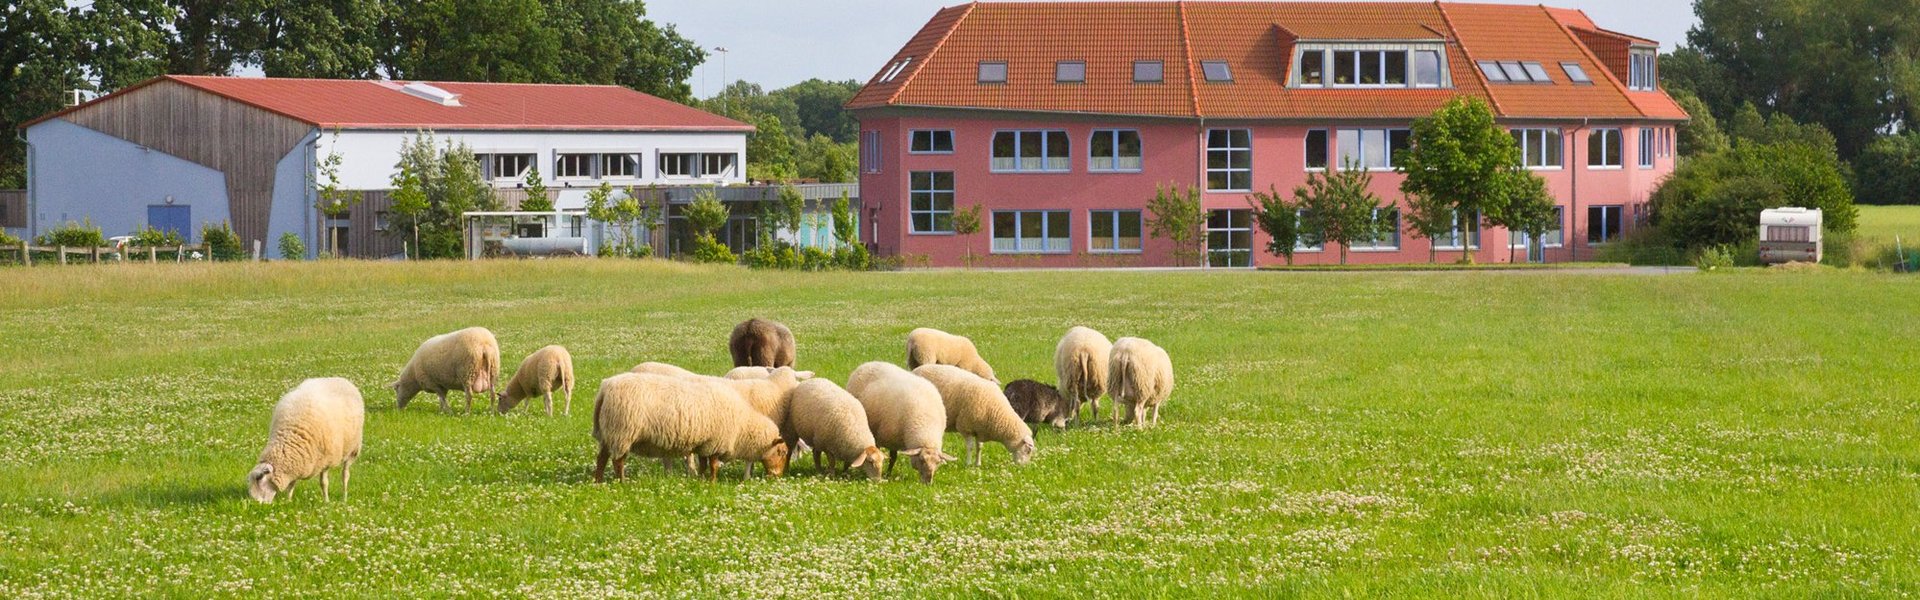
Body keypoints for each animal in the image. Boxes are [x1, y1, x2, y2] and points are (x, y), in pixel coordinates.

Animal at [592, 373, 790, 482]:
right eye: (781, 453)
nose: (778, 477)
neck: (743, 425)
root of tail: (605, 388)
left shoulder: (704, 443)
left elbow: (703, 463)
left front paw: (700, 480)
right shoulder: (715, 442)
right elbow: (713, 465)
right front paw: (712, 482)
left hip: (608, 433)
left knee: (601, 458)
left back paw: (599, 481)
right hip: (622, 432)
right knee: (618, 461)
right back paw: (622, 482)